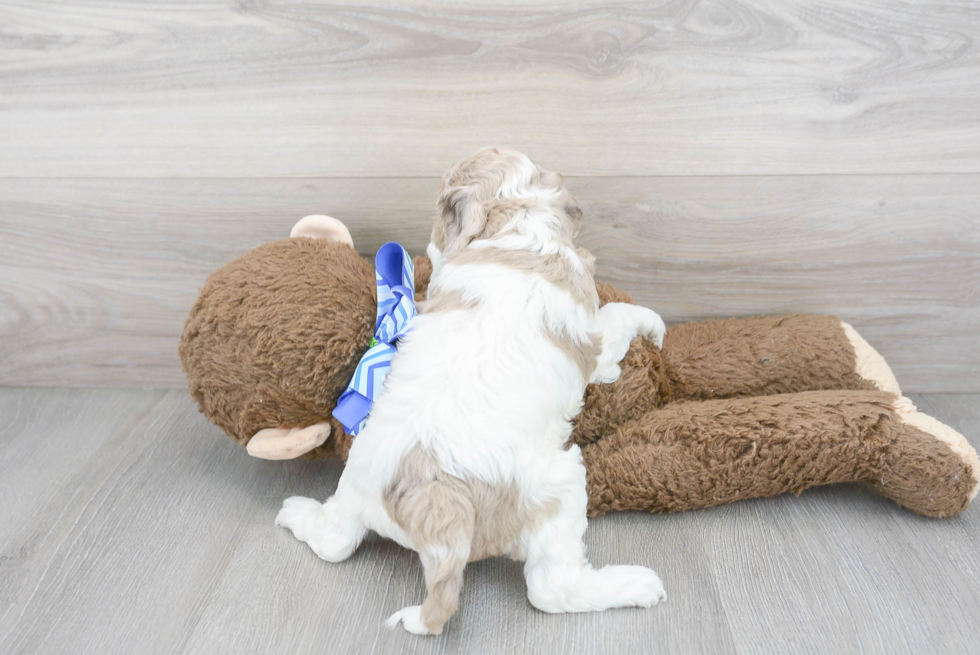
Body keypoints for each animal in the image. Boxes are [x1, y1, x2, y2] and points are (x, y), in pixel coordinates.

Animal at [280, 146, 668, 632]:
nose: (429, 247)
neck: (518, 226)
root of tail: (436, 509)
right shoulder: (593, 340)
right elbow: (618, 317)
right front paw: (653, 325)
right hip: (559, 485)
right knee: (550, 590)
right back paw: (634, 585)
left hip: (354, 492)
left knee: (335, 541)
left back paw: (295, 513)